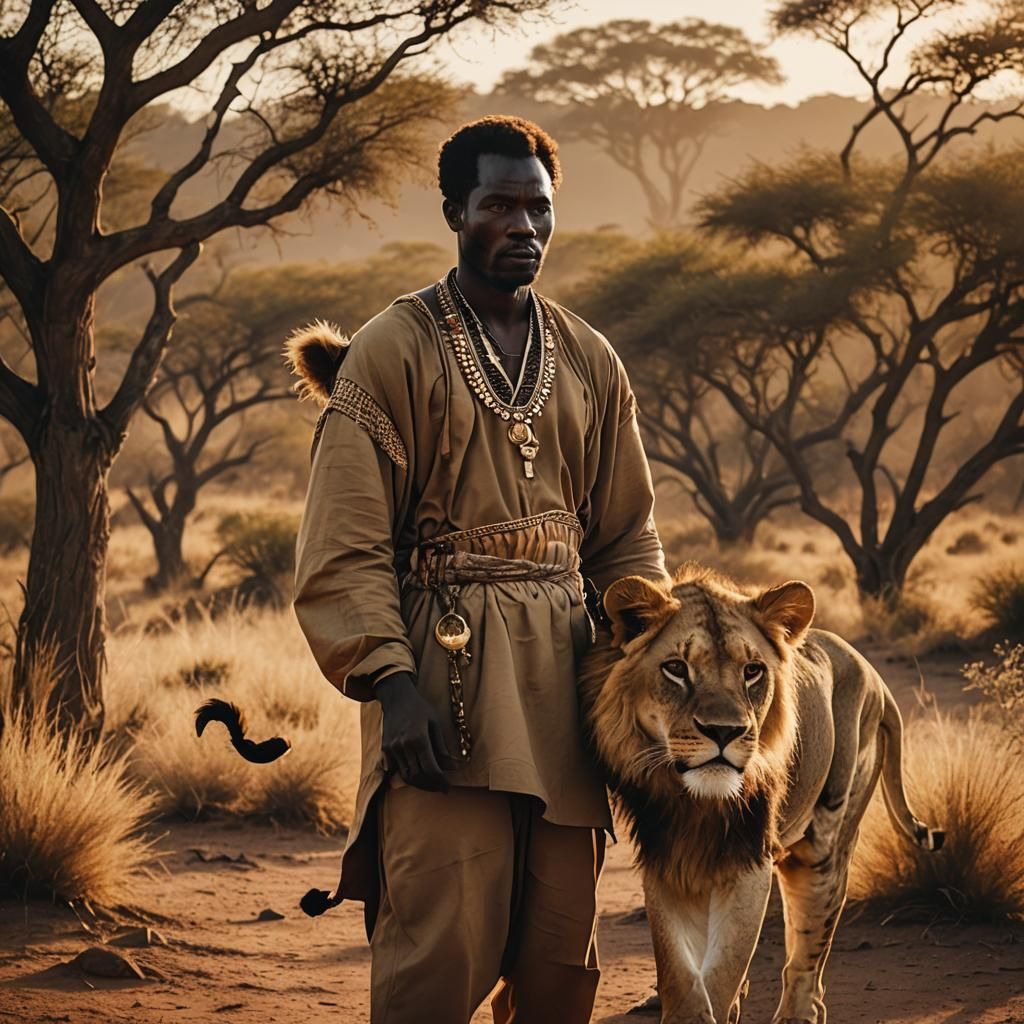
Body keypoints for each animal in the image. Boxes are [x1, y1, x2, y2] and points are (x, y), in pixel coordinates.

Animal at [580, 563, 944, 1024]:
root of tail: (873, 673)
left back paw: (798, 1012)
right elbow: (680, 969)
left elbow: (724, 967)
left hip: (825, 842)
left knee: (810, 945)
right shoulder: (666, 858)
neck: (697, 804)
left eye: (752, 671)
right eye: (676, 668)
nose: (724, 732)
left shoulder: (750, 858)